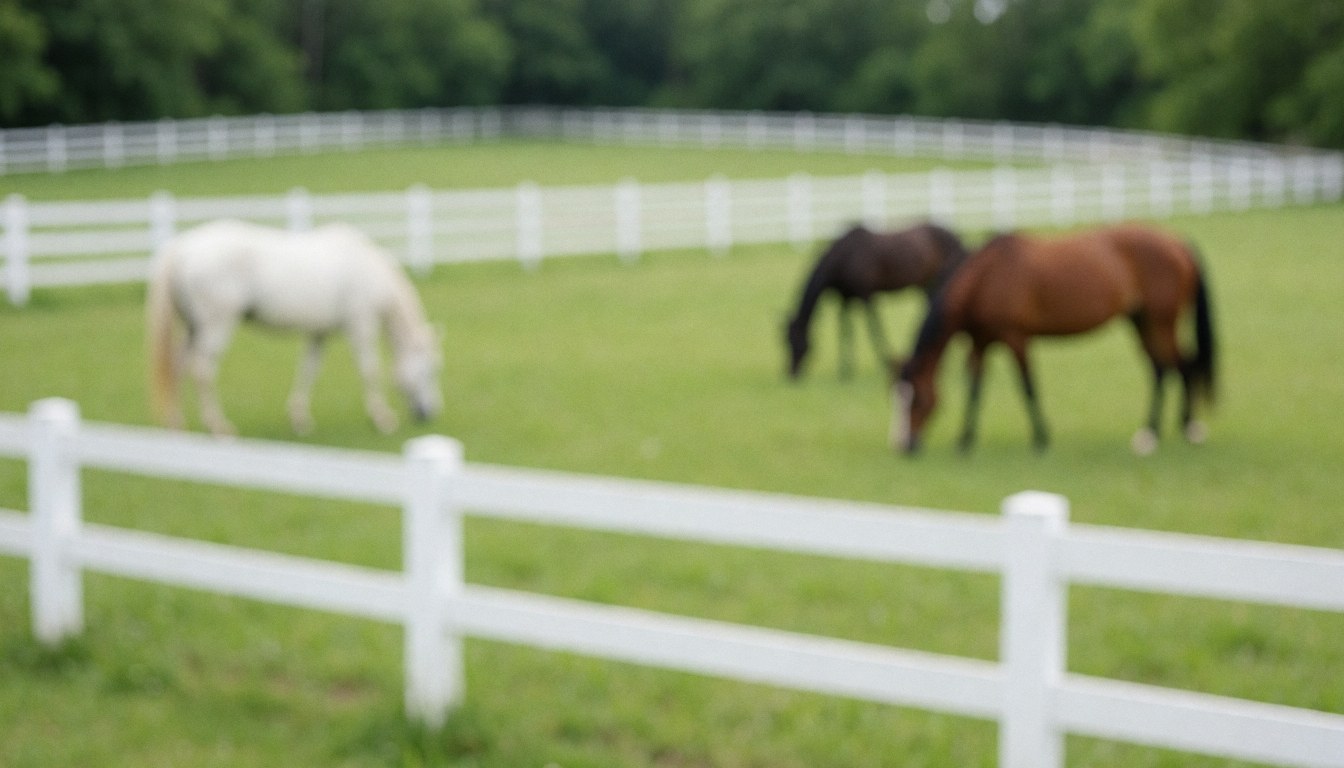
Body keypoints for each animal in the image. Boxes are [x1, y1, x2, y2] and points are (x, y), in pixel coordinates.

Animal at [147, 219, 442, 437]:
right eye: (429, 370)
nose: (429, 414)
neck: (368, 268)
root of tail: (183, 247)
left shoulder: (318, 334)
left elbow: (308, 371)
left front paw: (300, 420)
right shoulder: (360, 326)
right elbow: (369, 370)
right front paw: (382, 419)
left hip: (194, 329)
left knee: (177, 367)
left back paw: (176, 424)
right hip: (215, 327)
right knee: (202, 371)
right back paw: (218, 427)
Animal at [784, 222, 968, 379]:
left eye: (796, 341)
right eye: (785, 341)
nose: (792, 374)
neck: (844, 257)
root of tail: (956, 236)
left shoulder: (866, 296)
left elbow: (874, 329)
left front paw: (885, 362)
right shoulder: (846, 300)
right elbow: (846, 331)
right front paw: (845, 371)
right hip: (926, 285)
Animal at [890, 224, 1216, 455]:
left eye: (918, 400)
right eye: (897, 398)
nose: (905, 446)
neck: (985, 278)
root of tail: (1177, 242)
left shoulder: (1016, 339)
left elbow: (1028, 387)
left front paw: (1041, 438)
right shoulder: (980, 344)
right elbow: (975, 390)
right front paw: (964, 441)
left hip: (1161, 323)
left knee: (1182, 365)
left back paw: (1184, 431)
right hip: (1142, 322)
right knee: (1162, 369)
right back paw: (1153, 434)